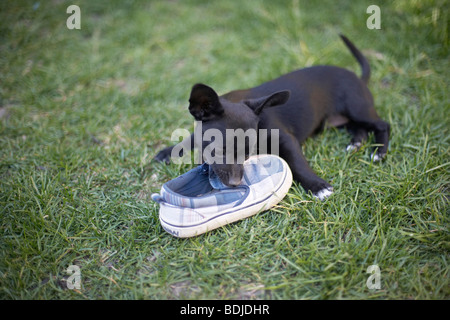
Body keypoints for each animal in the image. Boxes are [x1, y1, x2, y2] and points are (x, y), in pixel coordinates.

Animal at [154, 35, 386, 200]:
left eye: (248, 153)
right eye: (218, 150)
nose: (236, 183)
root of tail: (359, 78)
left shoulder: (287, 140)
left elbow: (298, 165)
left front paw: (318, 186)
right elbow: (191, 138)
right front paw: (168, 152)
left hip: (357, 108)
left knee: (382, 124)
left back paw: (380, 152)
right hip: (336, 121)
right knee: (358, 128)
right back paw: (355, 143)